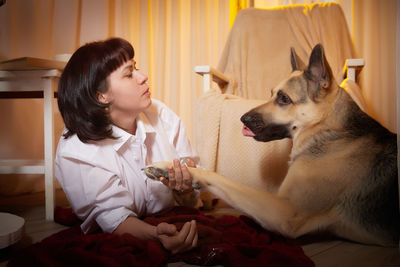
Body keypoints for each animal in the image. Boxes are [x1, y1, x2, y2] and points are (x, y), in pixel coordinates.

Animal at [144, 44, 396, 247]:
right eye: (272, 93)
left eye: (283, 98)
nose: (243, 119)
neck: (327, 129)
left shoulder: (285, 212)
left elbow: (219, 178)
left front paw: (168, 167)